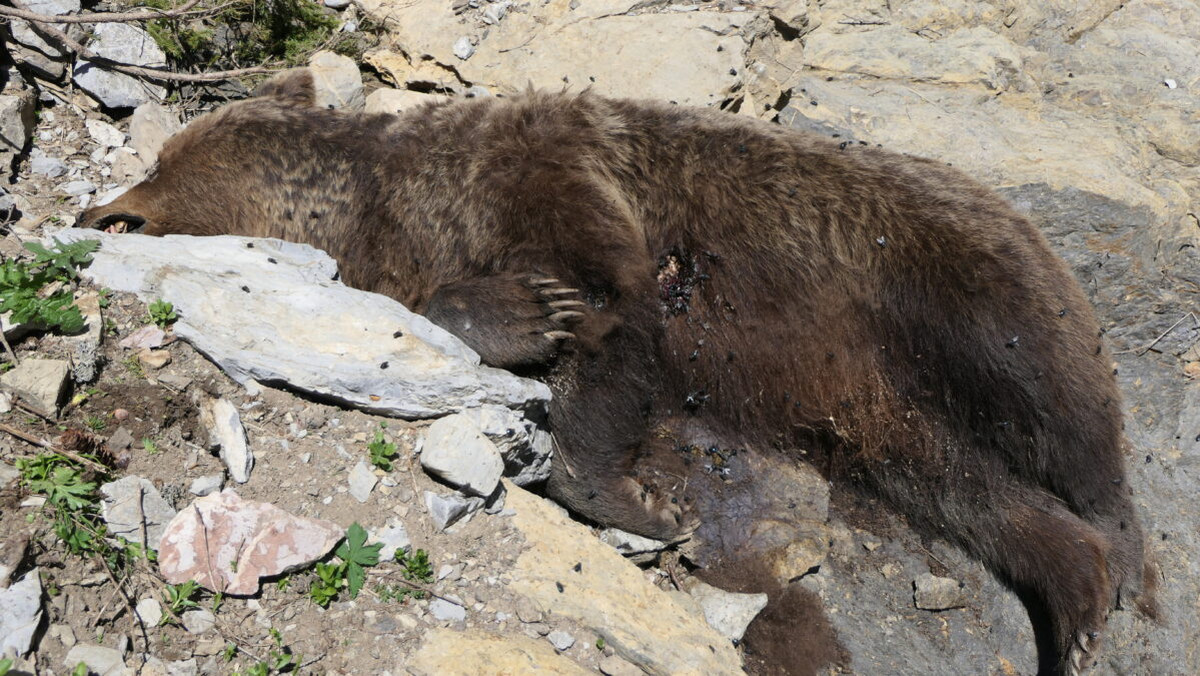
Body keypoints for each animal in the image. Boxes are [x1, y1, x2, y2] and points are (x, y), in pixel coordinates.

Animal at [82, 71, 1152, 672]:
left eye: (162, 168)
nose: (107, 206)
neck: (399, 210)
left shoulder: (559, 181)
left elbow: (606, 322)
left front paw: (631, 490)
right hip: (889, 418)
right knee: (975, 494)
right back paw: (1076, 599)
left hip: (951, 280)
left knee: (1059, 407)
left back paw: (1122, 556)